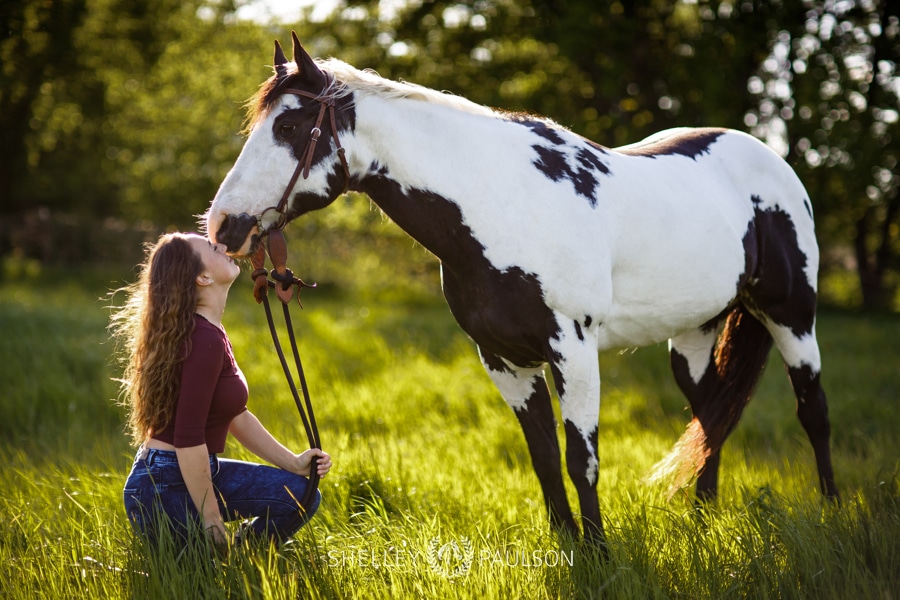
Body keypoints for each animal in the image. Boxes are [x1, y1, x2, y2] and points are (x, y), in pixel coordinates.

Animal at [204, 31, 836, 548]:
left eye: (288, 127)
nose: (223, 227)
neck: (503, 207)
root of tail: (769, 158)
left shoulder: (573, 351)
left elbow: (582, 460)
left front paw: (600, 553)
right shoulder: (504, 359)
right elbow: (545, 461)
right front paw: (570, 549)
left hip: (792, 317)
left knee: (813, 412)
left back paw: (830, 512)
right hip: (694, 335)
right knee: (711, 419)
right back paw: (703, 520)